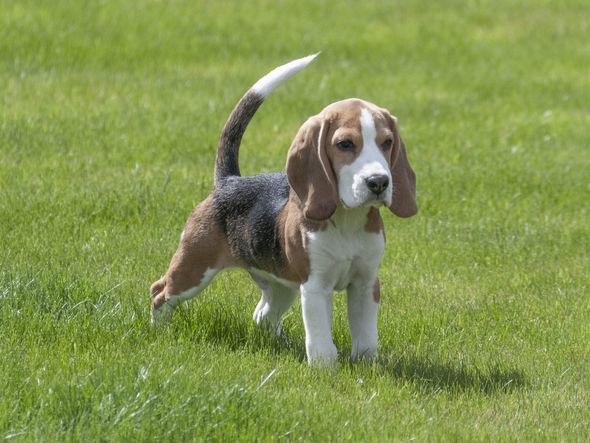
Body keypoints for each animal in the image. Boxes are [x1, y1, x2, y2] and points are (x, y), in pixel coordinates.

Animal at [150, 53, 418, 366]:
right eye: (345, 144)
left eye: (387, 143)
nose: (379, 182)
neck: (347, 221)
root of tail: (229, 181)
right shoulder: (315, 286)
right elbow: (320, 337)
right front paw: (325, 368)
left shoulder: (366, 284)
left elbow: (365, 335)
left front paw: (366, 363)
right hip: (194, 267)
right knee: (160, 292)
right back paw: (159, 330)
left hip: (281, 285)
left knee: (262, 315)